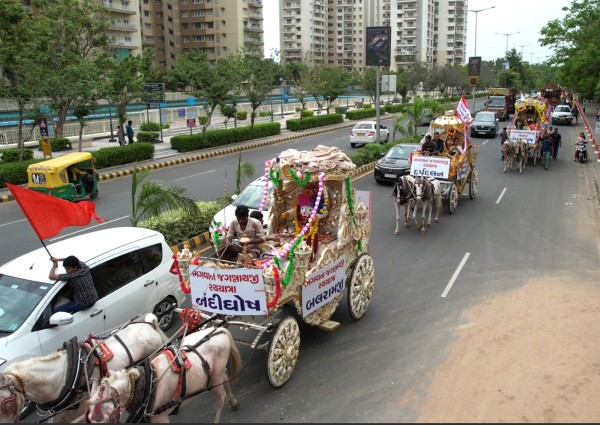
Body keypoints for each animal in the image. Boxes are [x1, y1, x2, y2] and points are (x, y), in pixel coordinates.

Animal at [82, 326, 241, 422]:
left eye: (98, 417)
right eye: (89, 418)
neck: (145, 385)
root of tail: (217, 329)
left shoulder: (160, 418)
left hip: (215, 378)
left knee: (220, 399)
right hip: (216, 372)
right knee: (225, 376)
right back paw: (233, 402)